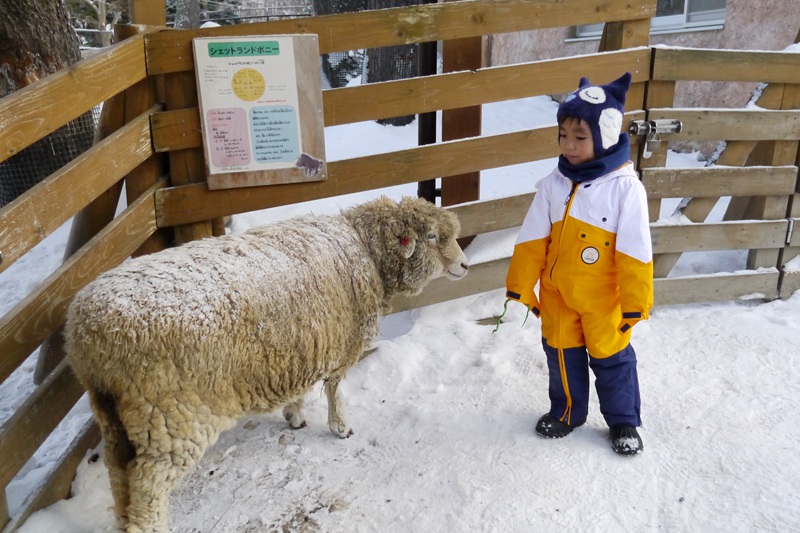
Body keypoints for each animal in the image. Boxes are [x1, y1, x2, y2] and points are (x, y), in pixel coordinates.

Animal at [65, 196, 468, 532]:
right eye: (432, 236)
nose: (465, 265)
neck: (364, 249)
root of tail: (87, 336)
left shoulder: (301, 345)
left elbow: (302, 386)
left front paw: (294, 414)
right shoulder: (341, 341)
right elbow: (335, 389)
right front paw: (339, 426)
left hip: (114, 415)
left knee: (120, 473)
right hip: (168, 415)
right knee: (148, 485)